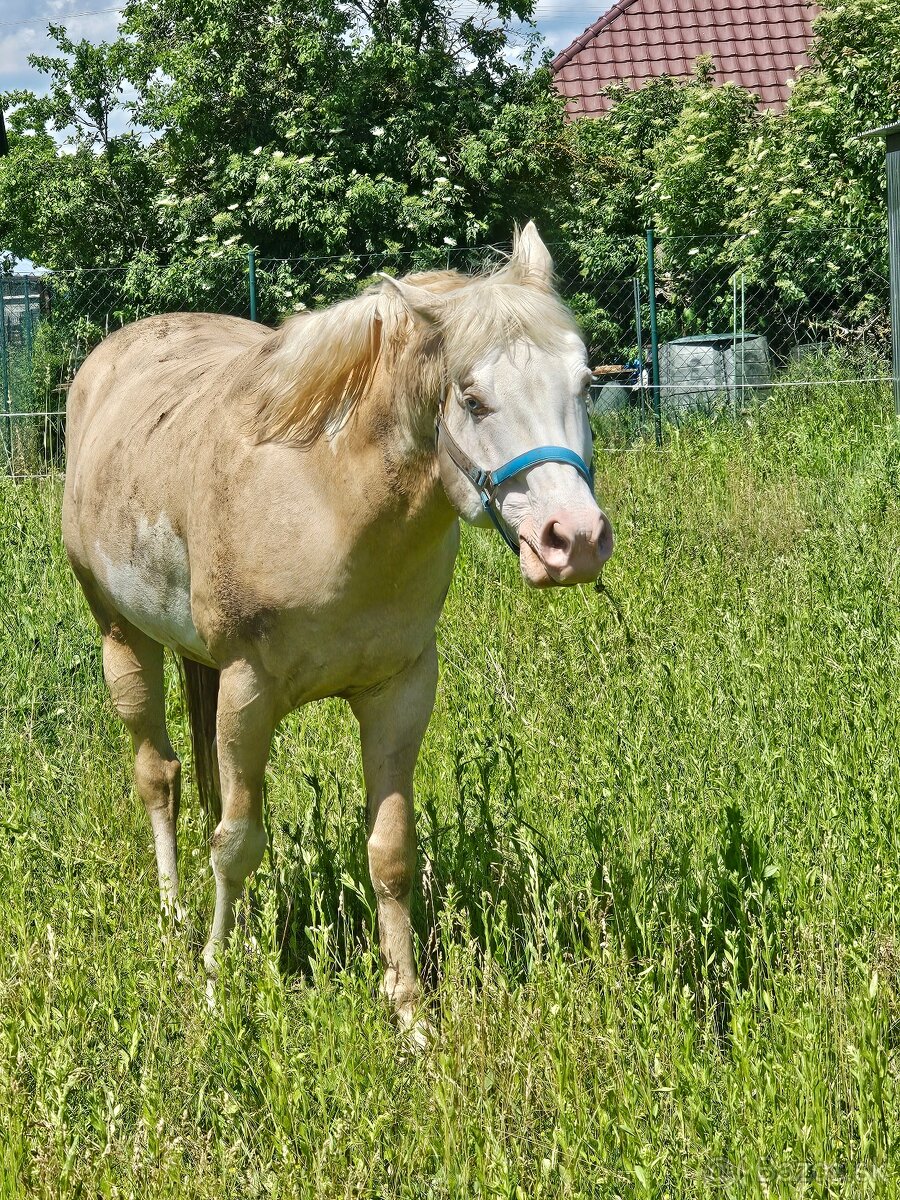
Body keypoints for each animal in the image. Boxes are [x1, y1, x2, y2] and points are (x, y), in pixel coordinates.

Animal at [61, 223, 613, 1033]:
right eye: (473, 398)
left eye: (583, 385)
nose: (572, 539)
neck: (330, 500)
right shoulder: (248, 693)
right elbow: (236, 844)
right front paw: (217, 982)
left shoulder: (400, 692)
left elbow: (389, 852)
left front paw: (410, 1015)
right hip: (121, 637)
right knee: (158, 777)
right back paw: (175, 919)